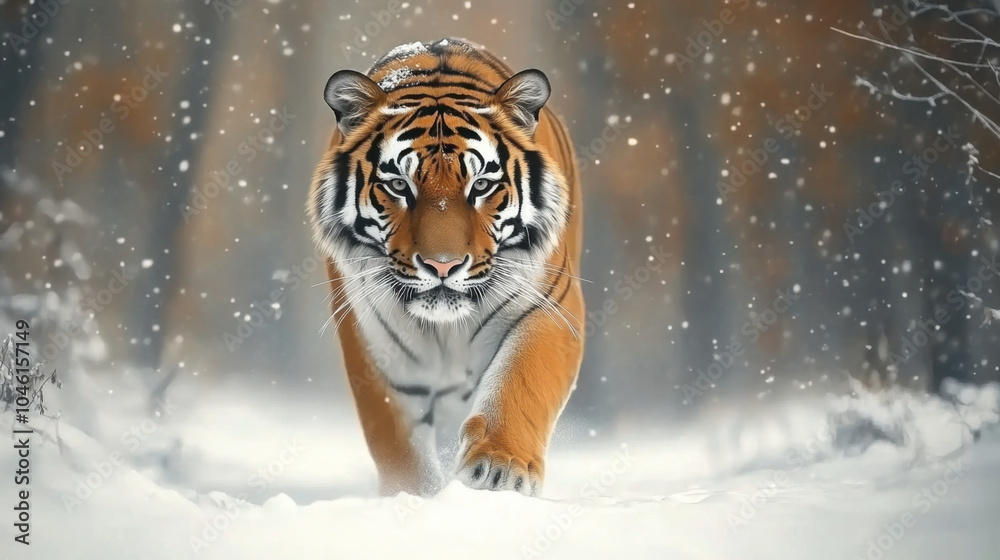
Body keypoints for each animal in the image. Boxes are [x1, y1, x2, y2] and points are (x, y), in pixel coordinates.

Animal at [307, 38, 584, 497]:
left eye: (482, 185)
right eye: (398, 185)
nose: (443, 265)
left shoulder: (548, 306)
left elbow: (520, 383)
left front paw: (499, 471)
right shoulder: (373, 341)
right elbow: (396, 440)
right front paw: (413, 495)